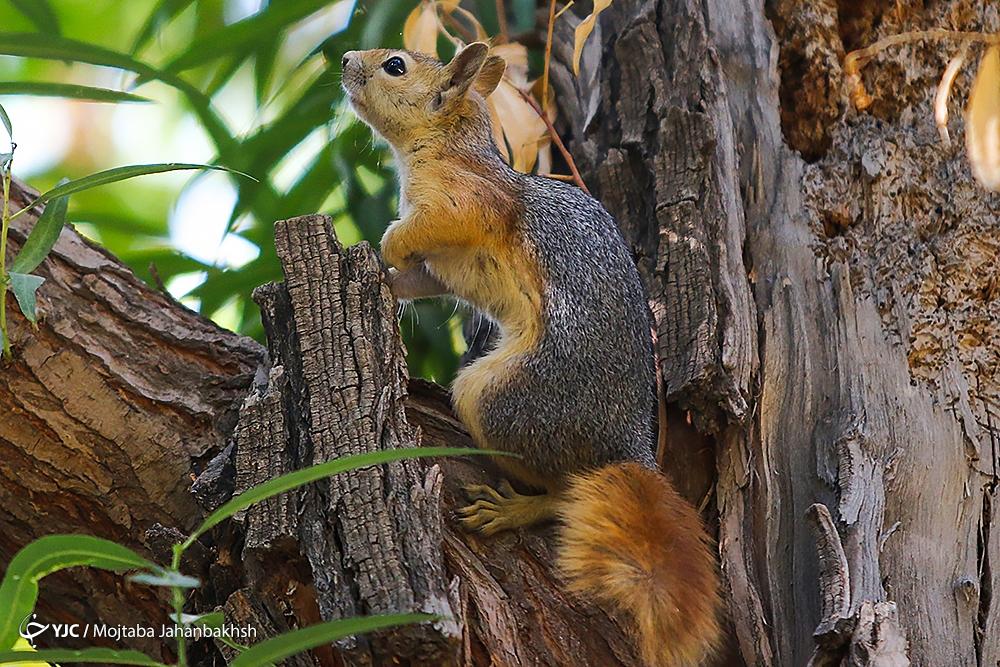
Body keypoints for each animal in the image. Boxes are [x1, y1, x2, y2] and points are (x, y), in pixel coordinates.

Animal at [342, 43, 720, 667]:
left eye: (396, 65)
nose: (348, 57)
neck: (443, 145)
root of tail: (630, 449)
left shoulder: (466, 202)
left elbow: (430, 227)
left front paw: (389, 242)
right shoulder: (439, 262)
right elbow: (421, 277)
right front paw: (386, 276)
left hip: (501, 396)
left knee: (563, 494)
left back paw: (512, 510)